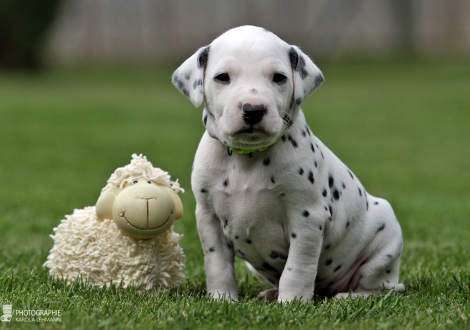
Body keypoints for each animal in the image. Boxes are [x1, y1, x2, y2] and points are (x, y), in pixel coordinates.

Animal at [173, 25, 404, 302]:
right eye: (222, 77)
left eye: (279, 77)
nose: (253, 110)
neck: (248, 157)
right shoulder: (208, 218)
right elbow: (217, 263)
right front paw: (222, 298)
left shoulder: (306, 217)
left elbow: (298, 267)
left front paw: (292, 302)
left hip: (385, 241)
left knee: (377, 288)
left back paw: (348, 296)